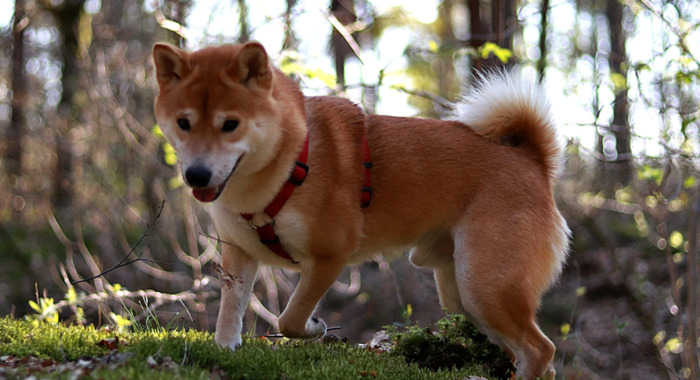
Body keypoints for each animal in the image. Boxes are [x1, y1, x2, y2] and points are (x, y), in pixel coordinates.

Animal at [152, 41, 568, 380]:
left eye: (231, 124)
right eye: (184, 123)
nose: (196, 175)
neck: (291, 160)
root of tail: (532, 161)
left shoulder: (329, 256)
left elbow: (290, 318)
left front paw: (315, 328)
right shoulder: (238, 255)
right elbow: (229, 317)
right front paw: (226, 351)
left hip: (485, 286)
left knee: (540, 349)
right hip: (465, 295)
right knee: (537, 358)